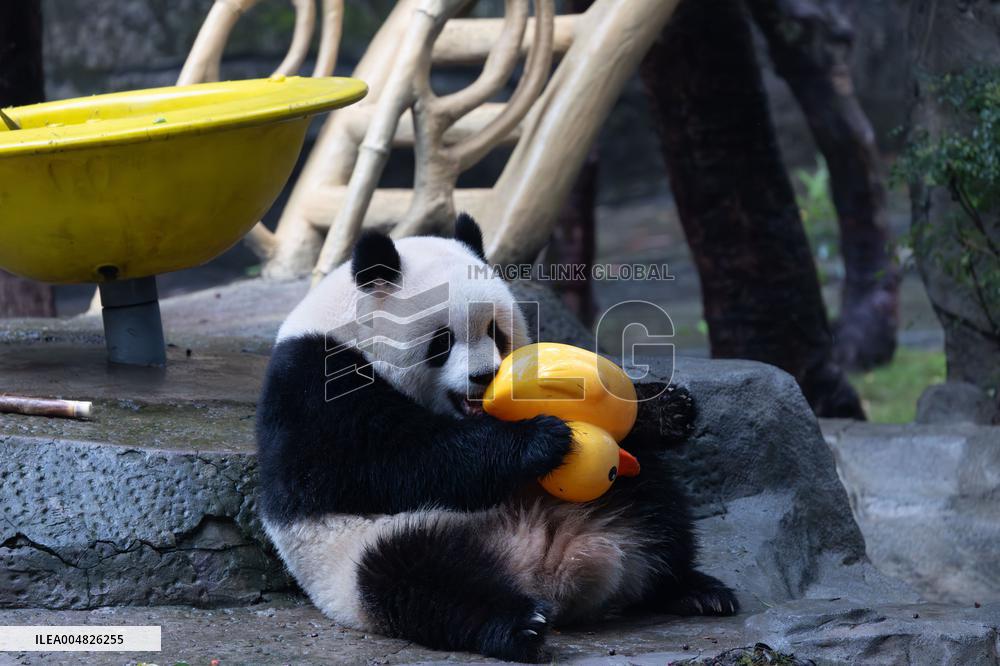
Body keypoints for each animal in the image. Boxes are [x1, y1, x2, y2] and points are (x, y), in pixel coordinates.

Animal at [256, 214, 738, 662]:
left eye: (495, 331)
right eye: (442, 341)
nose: (484, 376)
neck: (348, 329)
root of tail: (546, 565)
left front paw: (667, 408)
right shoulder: (313, 386)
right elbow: (380, 462)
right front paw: (541, 439)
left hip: (614, 498)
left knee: (657, 504)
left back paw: (692, 590)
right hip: (365, 551)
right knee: (423, 583)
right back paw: (519, 626)